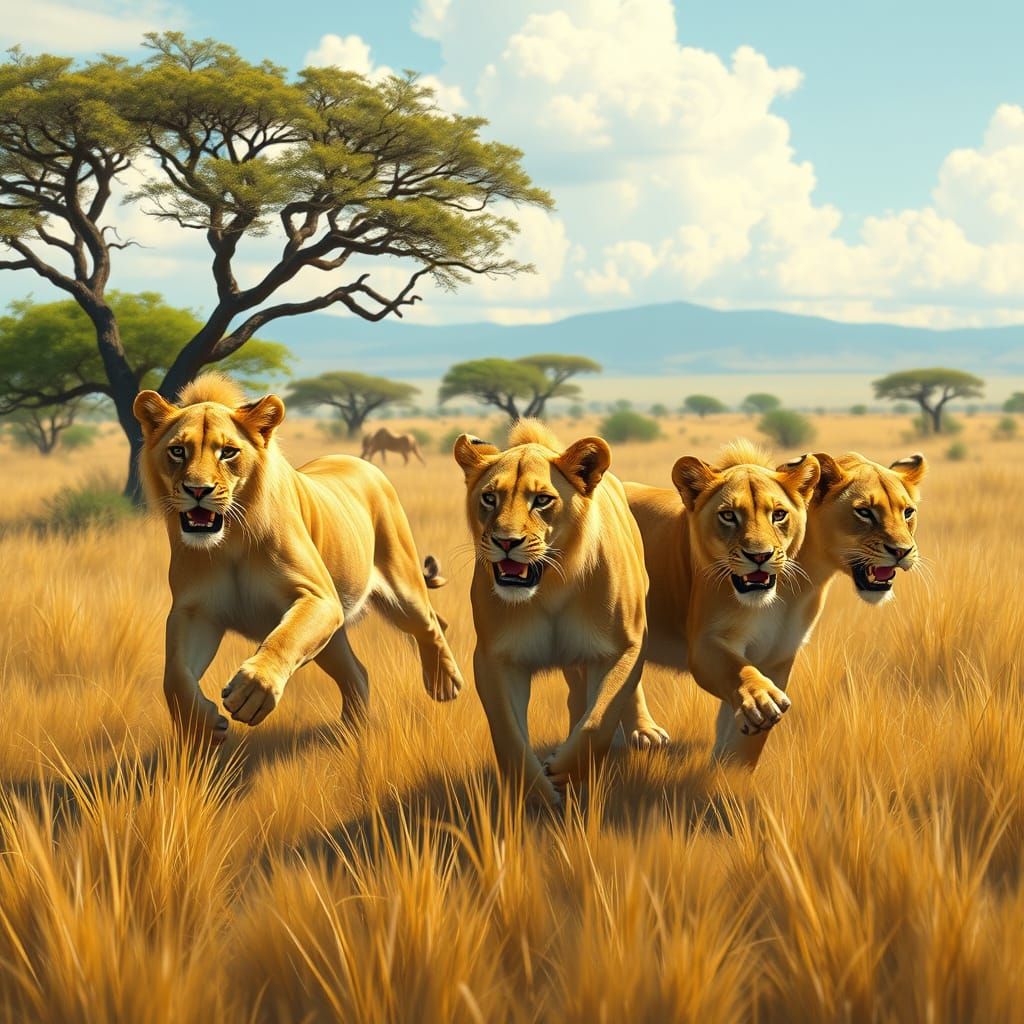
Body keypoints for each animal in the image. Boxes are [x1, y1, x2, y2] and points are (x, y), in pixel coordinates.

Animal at [133, 373, 463, 744]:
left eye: (228, 452)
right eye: (178, 451)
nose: (197, 490)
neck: (229, 542)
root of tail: (359, 460)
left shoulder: (318, 598)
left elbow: (284, 639)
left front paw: (252, 692)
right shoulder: (195, 612)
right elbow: (174, 674)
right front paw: (204, 724)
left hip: (400, 587)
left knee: (431, 623)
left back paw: (444, 684)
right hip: (333, 636)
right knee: (357, 673)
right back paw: (352, 732)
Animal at [453, 420, 648, 807]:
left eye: (542, 499)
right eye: (489, 497)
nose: (506, 541)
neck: (552, 586)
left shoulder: (623, 647)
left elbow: (600, 719)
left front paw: (563, 770)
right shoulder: (497, 658)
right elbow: (508, 735)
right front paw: (536, 792)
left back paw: (643, 732)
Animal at [622, 442, 820, 761]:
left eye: (778, 514)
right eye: (728, 516)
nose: (759, 556)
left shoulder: (779, 655)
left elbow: (743, 741)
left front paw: (731, 767)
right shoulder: (706, 641)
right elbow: (735, 669)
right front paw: (761, 698)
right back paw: (642, 733)